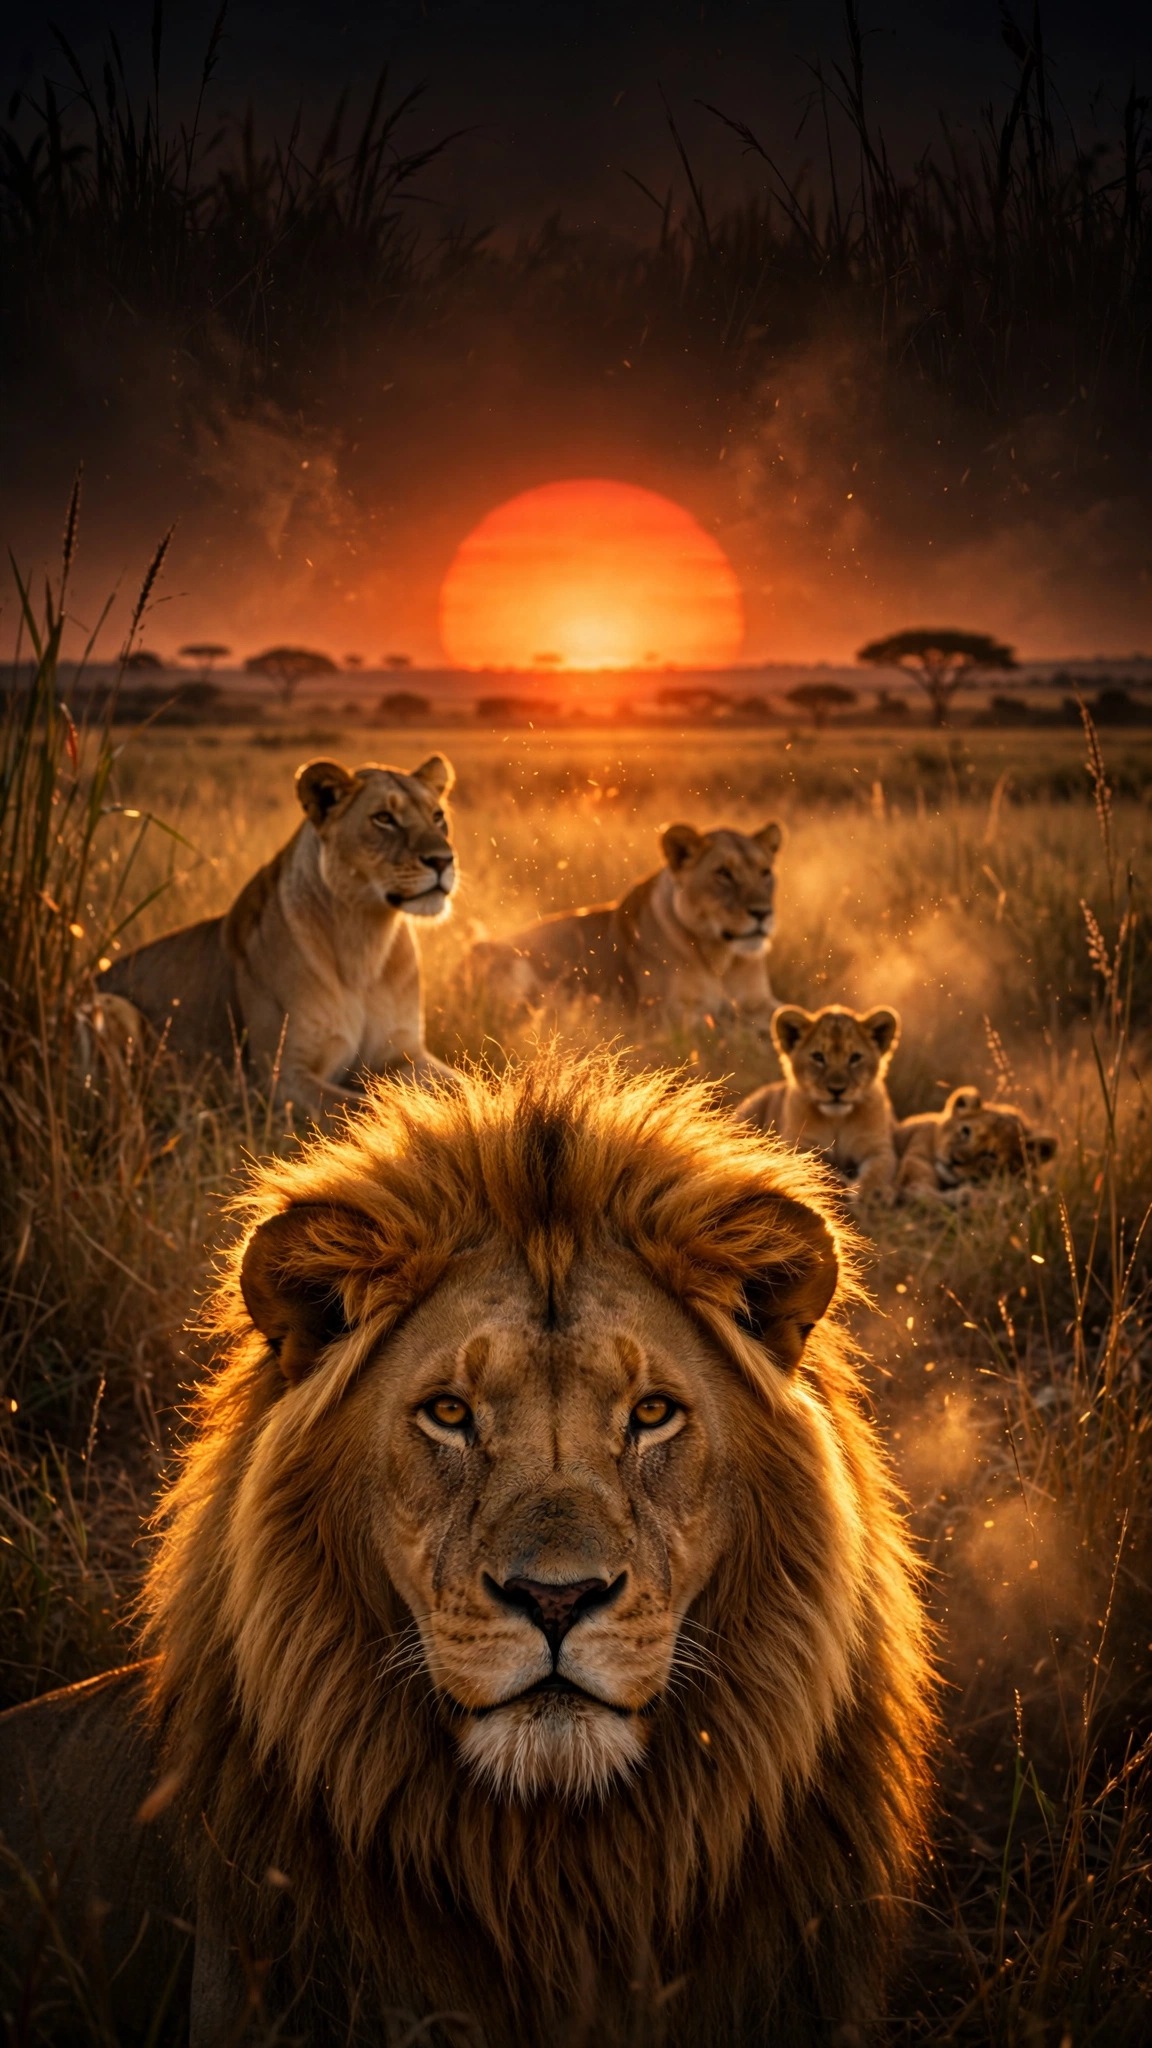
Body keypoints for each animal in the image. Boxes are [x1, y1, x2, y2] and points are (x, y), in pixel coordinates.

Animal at [97, 755, 457, 1118]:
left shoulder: (405, 1053)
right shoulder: (279, 1077)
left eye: (437, 816)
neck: (366, 940)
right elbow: (367, 1108)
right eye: (383, 818)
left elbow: (463, 1082)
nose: (443, 860)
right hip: (111, 1007)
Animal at [468, 820, 782, 1031]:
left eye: (765, 872)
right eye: (723, 873)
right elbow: (724, 1027)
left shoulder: (761, 1001)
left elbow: (785, 1012)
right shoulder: (665, 1015)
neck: (720, 959)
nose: (763, 913)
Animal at [737, 1003, 902, 1202]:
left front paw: (875, 1193)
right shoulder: (799, 1145)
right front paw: (836, 1180)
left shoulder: (879, 1149)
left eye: (855, 1057)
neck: (837, 1120)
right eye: (818, 1057)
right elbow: (818, 1165)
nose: (837, 1090)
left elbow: (876, 1173)